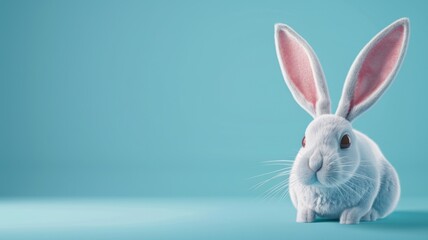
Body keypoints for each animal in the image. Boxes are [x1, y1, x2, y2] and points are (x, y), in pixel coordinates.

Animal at [276, 18, 410, 225]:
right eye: (303, 141)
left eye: (345, 141)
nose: (315, 163)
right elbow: (304, 207)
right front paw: (304, 218)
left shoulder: (370, 191)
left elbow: (359, 208)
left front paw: (348, 219)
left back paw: (370, 216)